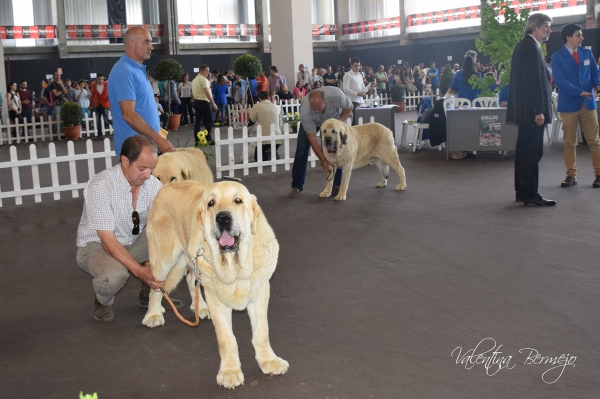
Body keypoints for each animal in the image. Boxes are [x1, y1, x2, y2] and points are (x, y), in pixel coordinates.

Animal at [143, 183, 288, 390]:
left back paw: (201, 308)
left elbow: (261, 332)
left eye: (238, 200)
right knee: (156, 286)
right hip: (164, 259)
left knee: (191, 279)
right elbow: (227, 339)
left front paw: (269, 361)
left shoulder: (260, 294)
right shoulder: (217, 302)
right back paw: (153, 314)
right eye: (211, 203)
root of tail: (167, 184)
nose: (223, 217)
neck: (234, 268)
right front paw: (230, 372)